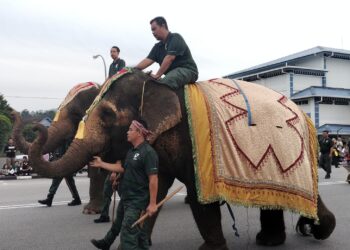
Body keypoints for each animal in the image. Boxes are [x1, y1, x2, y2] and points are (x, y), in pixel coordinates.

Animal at [30, 69, 336, 250]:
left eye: (106, 115)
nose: (36, 127)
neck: (158, 84)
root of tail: (305, 114)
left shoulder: (191, 143)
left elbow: (201, 200)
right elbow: (154, 189)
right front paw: (138, 244)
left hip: (292, 154)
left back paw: (316, 231)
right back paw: (273, 240)